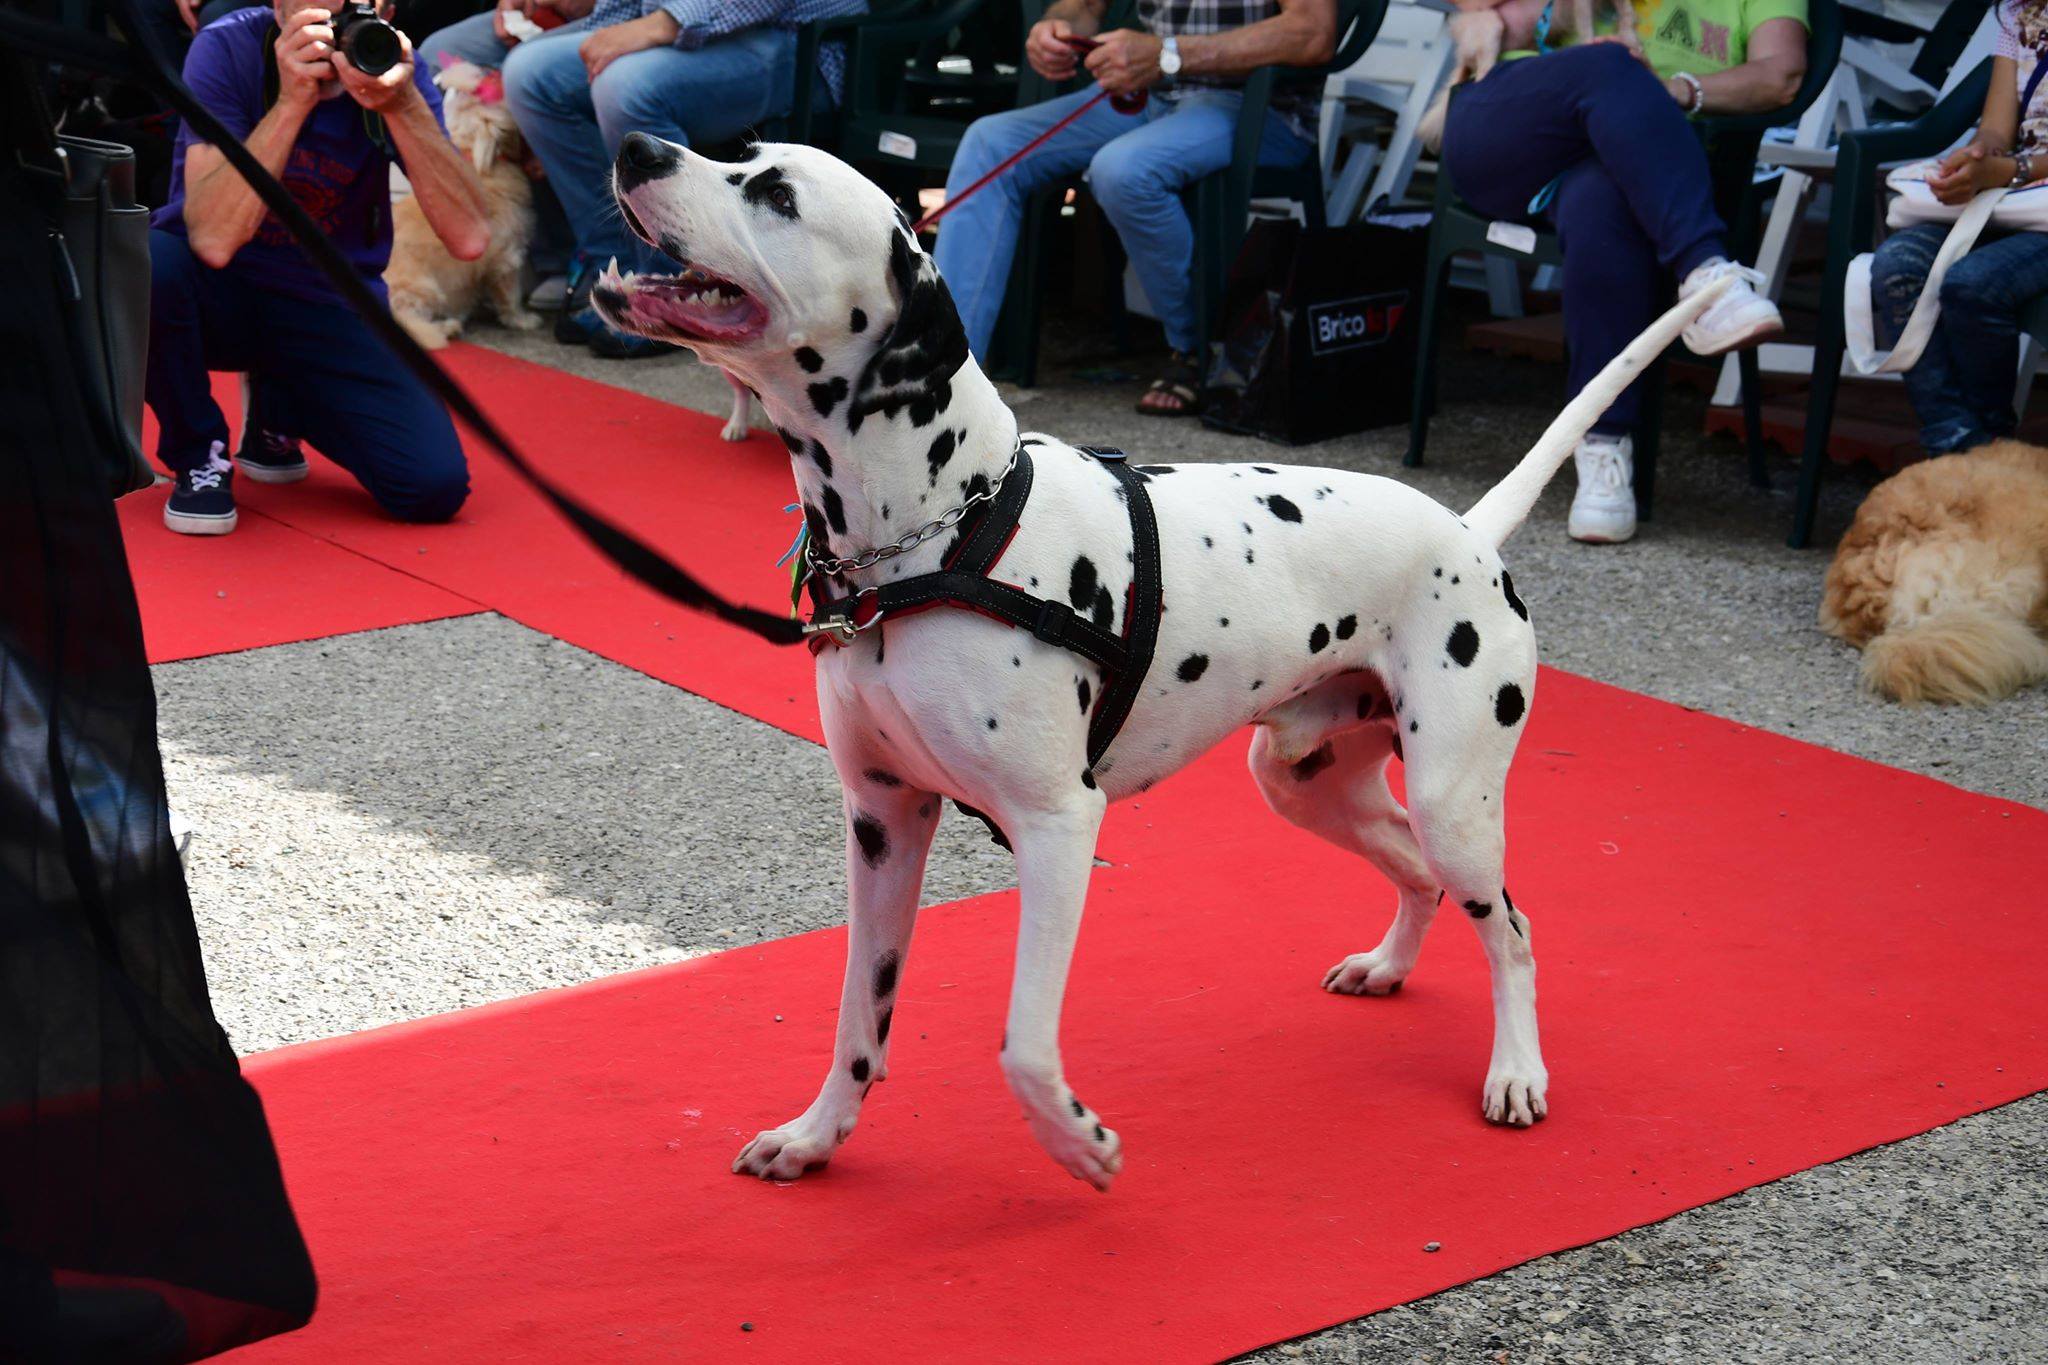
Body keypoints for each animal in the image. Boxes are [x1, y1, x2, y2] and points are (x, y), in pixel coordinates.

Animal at [387, 61, 540, 349]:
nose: (494, 71)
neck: (479, 166)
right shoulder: (506, 257)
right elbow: (510, 295)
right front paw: (521, 319)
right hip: (425, 290)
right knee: (408, 321)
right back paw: (446, 327)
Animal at [598, 130, 1728, 1195]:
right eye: (739, 153)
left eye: (775, 194)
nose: (637, 146)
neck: (943, 529)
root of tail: (1467, 530)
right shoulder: (883, 823)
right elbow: (856, 1022)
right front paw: (816, 1137)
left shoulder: (1059, 827)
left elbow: (1022, 1043)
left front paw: (1076, 1144)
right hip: (1306, 783)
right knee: (1415, 876)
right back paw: (1387, 967)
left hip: (1457, 803)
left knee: (1513, 929)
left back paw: (1516, 1070)